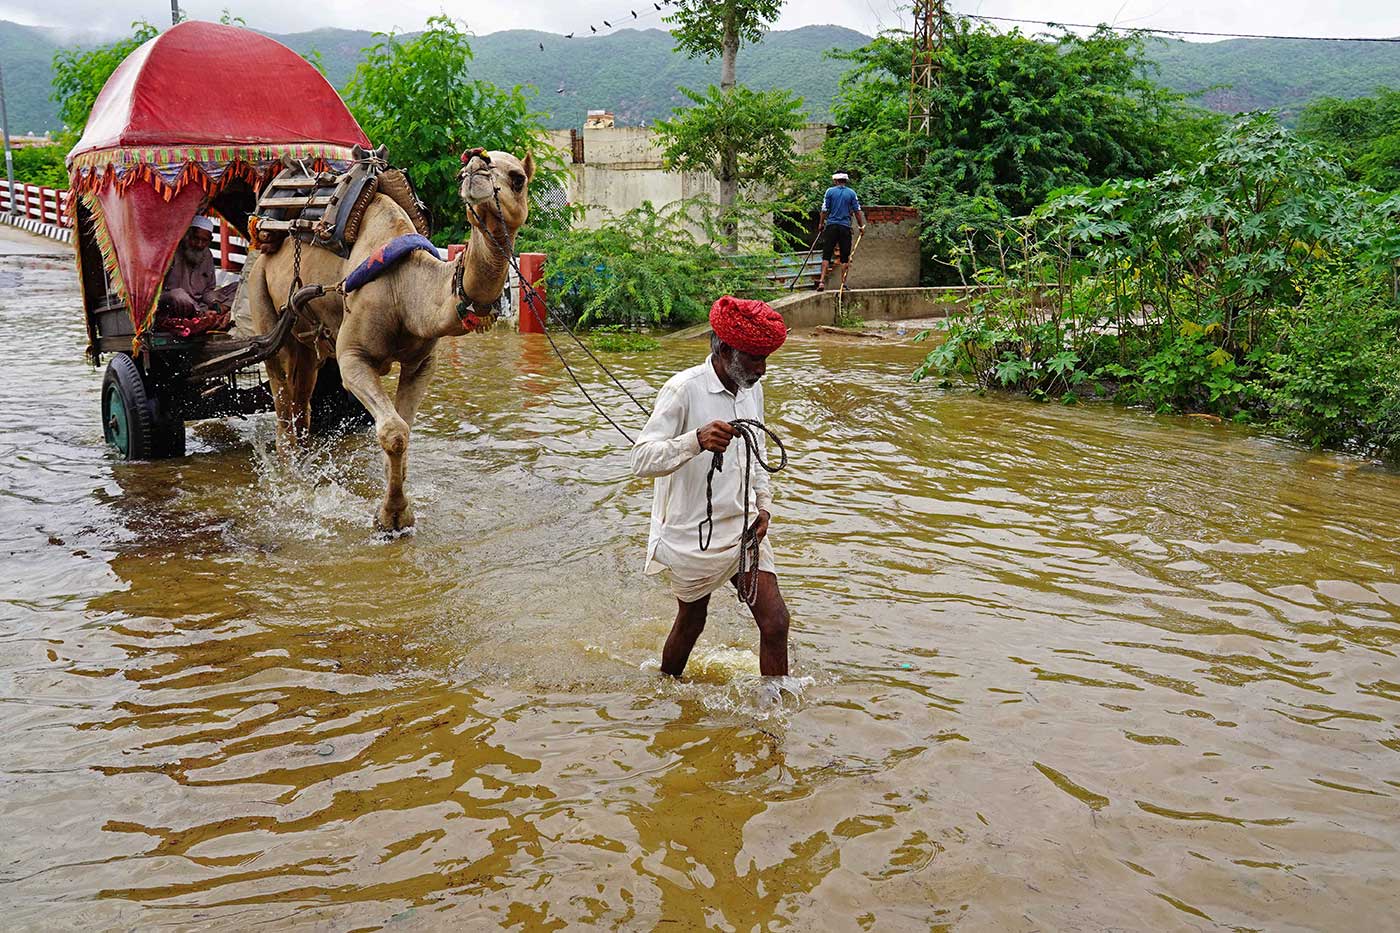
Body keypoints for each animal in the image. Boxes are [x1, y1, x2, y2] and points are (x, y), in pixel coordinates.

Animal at [243, 152, 532, 529]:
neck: (405, 287)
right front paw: (392, 515)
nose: (476, 168)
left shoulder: (421, 363)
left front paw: (397, 510)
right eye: (461, 172)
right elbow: (394, 432)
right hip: (261, 299)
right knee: (281, 405)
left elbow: (405, 429)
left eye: (517, 178)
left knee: (302, 403)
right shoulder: (352, 356)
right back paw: (291, 480)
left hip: (306, 341)